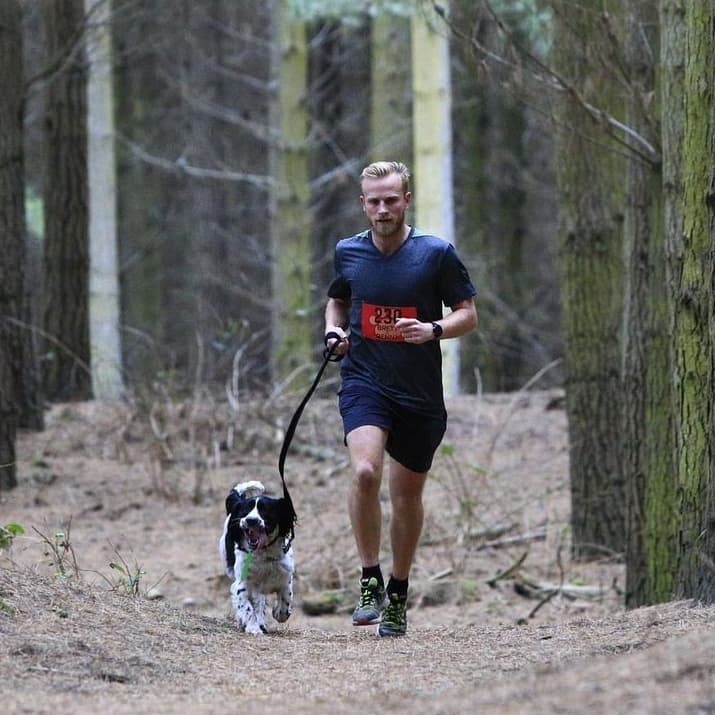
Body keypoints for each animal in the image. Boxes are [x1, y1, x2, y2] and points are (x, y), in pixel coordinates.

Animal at [218, 484, 296, 636]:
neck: (264, 554)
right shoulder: (242, 583)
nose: (251, 520)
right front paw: (253, 627)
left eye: (265, 510)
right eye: (245, 510)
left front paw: (278, 613)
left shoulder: (285, 576)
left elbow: (286, 599)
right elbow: (246, 607)